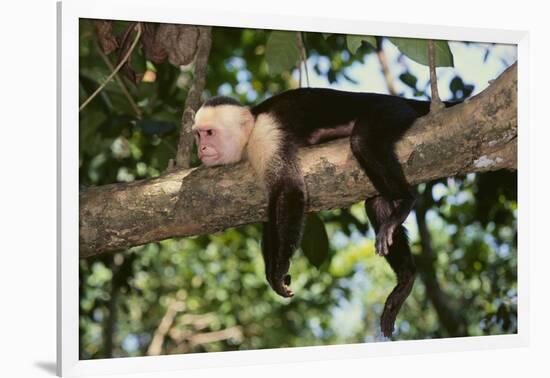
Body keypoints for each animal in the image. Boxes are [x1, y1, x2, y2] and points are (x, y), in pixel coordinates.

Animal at [194, 89, 440, 336]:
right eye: (198, 135)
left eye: (209, 133)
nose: (201, 149)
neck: (252, 126)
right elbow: (273, 208)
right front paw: (271, 272)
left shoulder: (266, 135)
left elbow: (289, 189)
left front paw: (278, 270)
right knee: (376, 203)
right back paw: (406, 278)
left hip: (393, 110)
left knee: (362, 141)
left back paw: (406, 201)